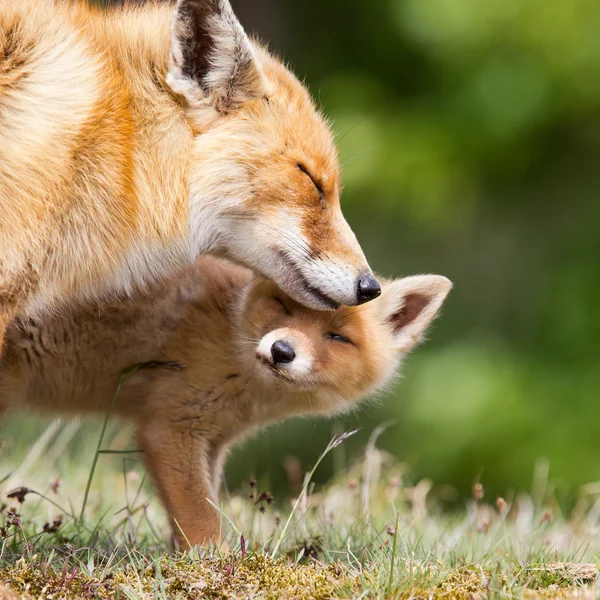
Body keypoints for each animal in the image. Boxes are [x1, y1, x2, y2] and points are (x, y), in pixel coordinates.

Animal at [0, 255, 450, 548]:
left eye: (338, 337)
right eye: (284, 306)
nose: (282, 351)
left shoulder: (213, 440)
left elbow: (203, 505)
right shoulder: (170, 428)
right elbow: (201, 517)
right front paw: (212, 565)